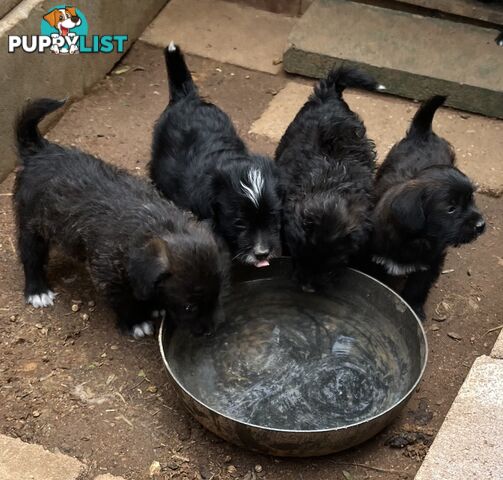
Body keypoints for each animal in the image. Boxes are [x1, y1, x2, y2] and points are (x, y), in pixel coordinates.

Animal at [13, 97, 228, 338]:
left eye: (218, 295)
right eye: (189, 307)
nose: (211, 330)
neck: (156, 224)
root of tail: (40, 151)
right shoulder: (108, 276)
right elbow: (125, 301)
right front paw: (136, 321)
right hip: (32, 224)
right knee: (30, 256)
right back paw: (37, 290)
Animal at [372, 94, 486, 318]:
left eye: (471, 199)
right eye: (450, 208)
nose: (481, 225)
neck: (414, 239)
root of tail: (423, 132)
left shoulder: (430, 263)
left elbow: (417, 287)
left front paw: (413, 307)